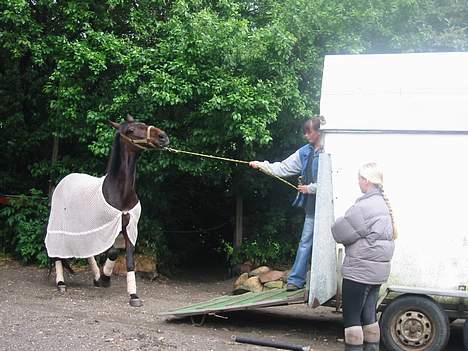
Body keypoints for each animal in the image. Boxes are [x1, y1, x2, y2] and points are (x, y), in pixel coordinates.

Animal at [45, 116, 170, 308]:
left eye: (143, 123)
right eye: (130, 131)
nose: (162, 136)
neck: (119, 193)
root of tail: (64, 181)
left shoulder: (129, 228)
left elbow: (129, 260)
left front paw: (133, 295)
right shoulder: (107, 228)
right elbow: (113, 252)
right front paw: (106, 278)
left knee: (86, 250)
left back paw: (96, 278)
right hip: (60, 226)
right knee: (58, 253)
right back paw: (61, 283)